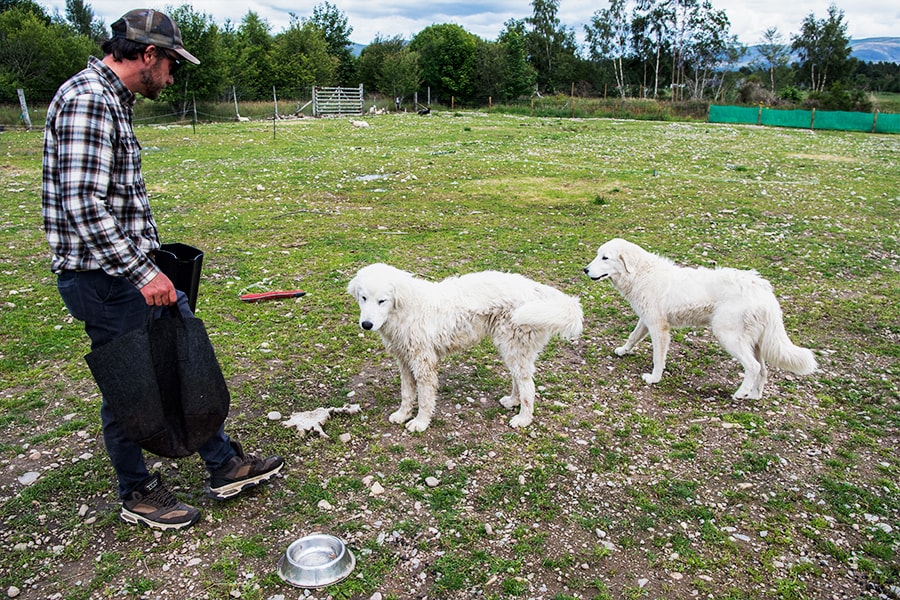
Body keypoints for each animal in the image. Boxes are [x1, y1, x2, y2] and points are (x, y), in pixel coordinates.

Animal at [344, 264, 584, 432]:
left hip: (513, 346)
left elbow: (424, 398)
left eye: (382, 301)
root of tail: (534, 288)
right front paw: (402, 414)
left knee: (528, 387)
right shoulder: (404, 360)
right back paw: (512, 401)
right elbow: (407, 393)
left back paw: (523, 418)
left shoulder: (424, 363)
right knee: (519, 379)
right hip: (513, 349)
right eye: (363, 298)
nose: (366, 324)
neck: (404, 310)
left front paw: (420, 422)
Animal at [584, 238, 816, 398]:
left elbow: (658, 358)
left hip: (727, 335)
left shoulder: (659, 328)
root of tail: (762, 288)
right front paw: (623, 351)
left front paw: (654, 378)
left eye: (605, 258)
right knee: (764, 370)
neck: (641, 274)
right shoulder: (647, 320)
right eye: (597, 255)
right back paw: (754, 395)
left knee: (753, 367)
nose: (585, 270)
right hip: (755, 342)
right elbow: (632, 337)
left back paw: (740, 393)